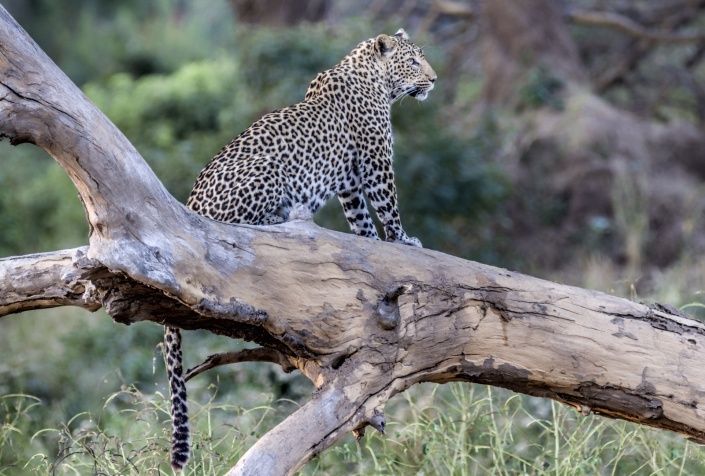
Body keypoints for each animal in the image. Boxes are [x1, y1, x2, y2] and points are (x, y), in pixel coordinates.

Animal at [164, 28, 436, 471]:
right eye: (412, 62)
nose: (433, 79)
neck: (373, 77)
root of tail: (190, 208)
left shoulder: (349, 183)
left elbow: (361, 220)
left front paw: (374, 246)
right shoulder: (376, 162)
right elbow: (388, 206)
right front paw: (402, 240)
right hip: (267, 168)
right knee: (239, 227)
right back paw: (283, 219)